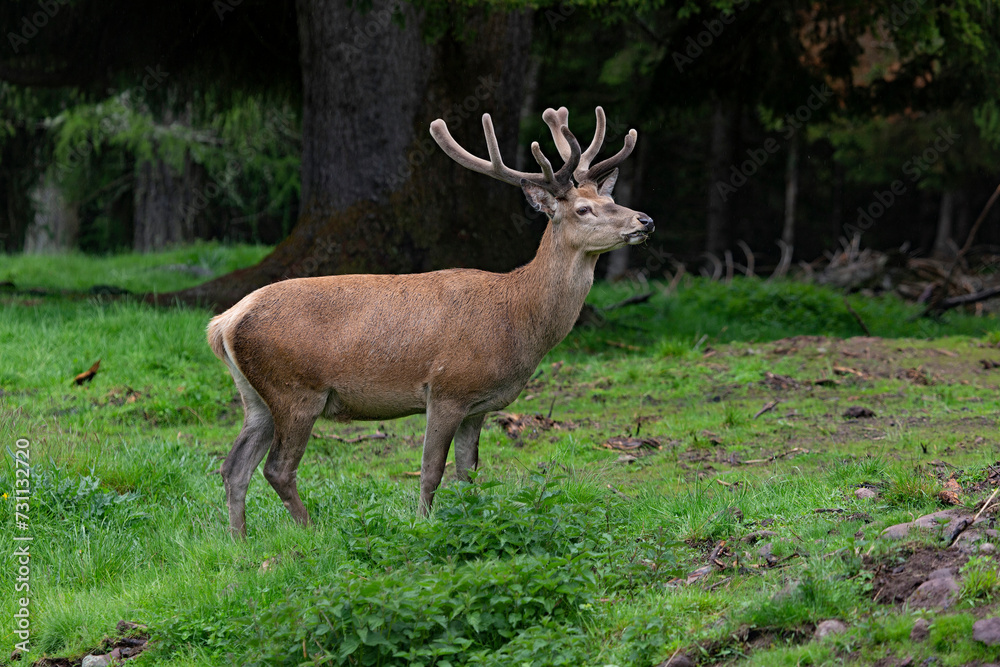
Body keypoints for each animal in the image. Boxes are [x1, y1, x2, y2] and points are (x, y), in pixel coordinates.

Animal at [207, 107, 652, 540]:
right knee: (278, 468)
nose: (644, 220)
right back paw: (311, 533)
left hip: (256, 395)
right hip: (296, 389)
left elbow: (468, 472)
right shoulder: (446, 388)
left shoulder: (479, 405)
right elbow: (431, 471)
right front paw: (423, 526)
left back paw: (239, 542)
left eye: (608, 197)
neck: (517, 319)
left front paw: (472, 520)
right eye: (583, 209)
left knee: (234, 466)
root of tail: (223, 322)